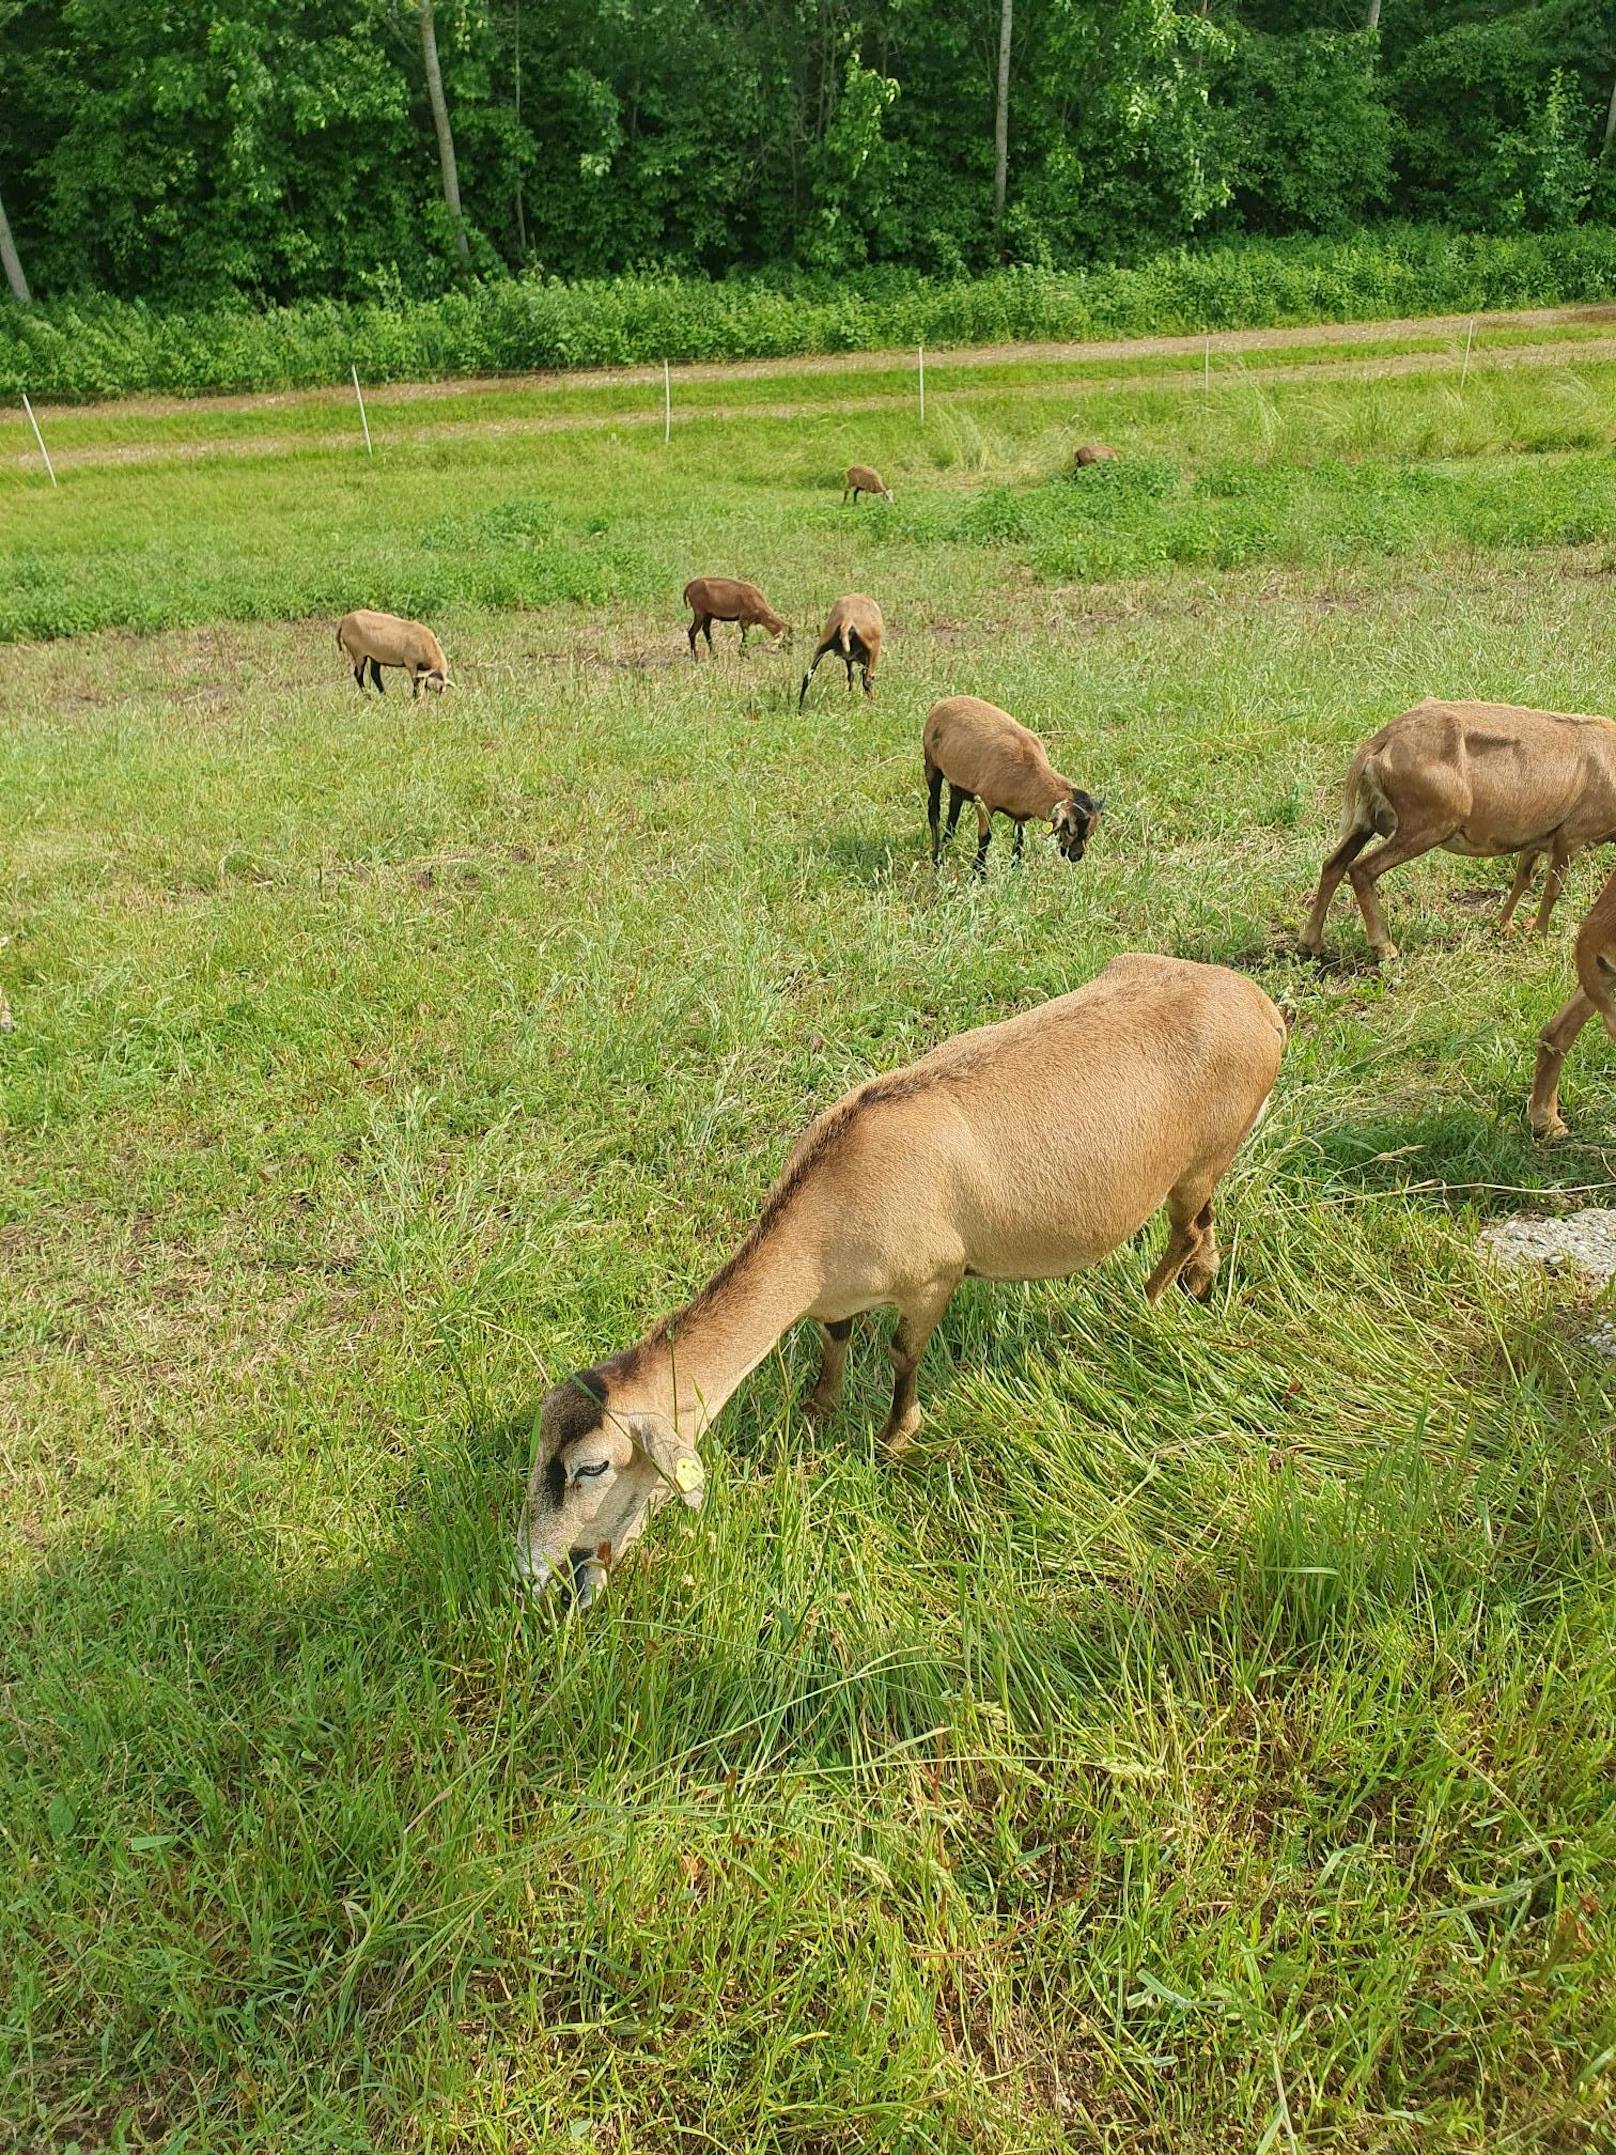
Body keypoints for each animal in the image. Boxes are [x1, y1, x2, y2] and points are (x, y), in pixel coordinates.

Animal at [519, 952, 1292, 1611]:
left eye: (593, 1468)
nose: (532, 1572)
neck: (823, 1217)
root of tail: (1261, 1005)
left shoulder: (933, 1276)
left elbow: (902, 1353)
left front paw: (892, 1437)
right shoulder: (839, 1294)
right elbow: (834, 1339)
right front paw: (818, 1407)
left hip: (1199, 1157)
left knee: (1183, 1230)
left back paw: (1152, 1303)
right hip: (1208, 1162)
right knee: (1206, 1220)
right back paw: (1200, 1284)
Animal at [930, 693, 1111, 870]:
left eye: (1091, 832)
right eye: (1071, 830)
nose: (1076, 856)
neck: (1031, 772)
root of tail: (945, 702)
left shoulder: (1021, 813)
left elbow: (1020, 839)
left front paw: (1016, 869)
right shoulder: (985, 802)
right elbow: (985, 838)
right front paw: (979, 872)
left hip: (956, 784)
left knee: (953, 812)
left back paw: (946, 846)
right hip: (932, 766)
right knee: (934, 809)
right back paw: (937, 860)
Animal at [1301, 698, 1616, 961]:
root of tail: (1382, 743)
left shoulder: (1535, 840)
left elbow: (1522, 880)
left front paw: (1503, 925)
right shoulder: (1571, 837)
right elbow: (1553, 889)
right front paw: (1539, 935)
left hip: (1366, 819)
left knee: (1334, 864)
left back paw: (1311, 943)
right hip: (1427, 826)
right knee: (1362, 868)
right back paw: (1385, 947)